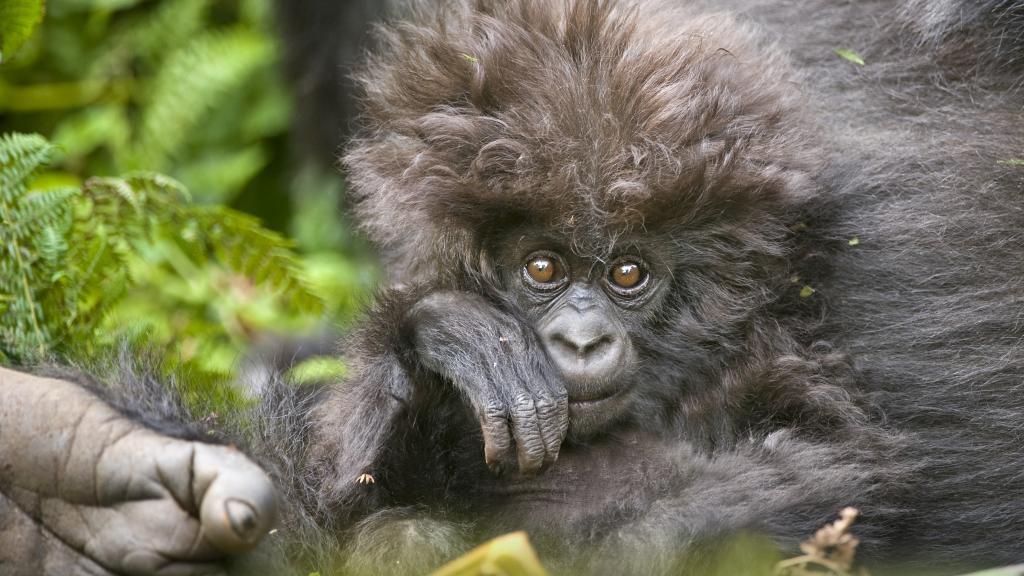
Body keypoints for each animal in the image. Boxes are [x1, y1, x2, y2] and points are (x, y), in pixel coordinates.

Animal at [2, 0, 1023, 575]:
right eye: (541, 270)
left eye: (628, 274)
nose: (578, 341)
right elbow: (348, 492)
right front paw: (445, 340)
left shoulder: (789, 367)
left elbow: (818, 473)